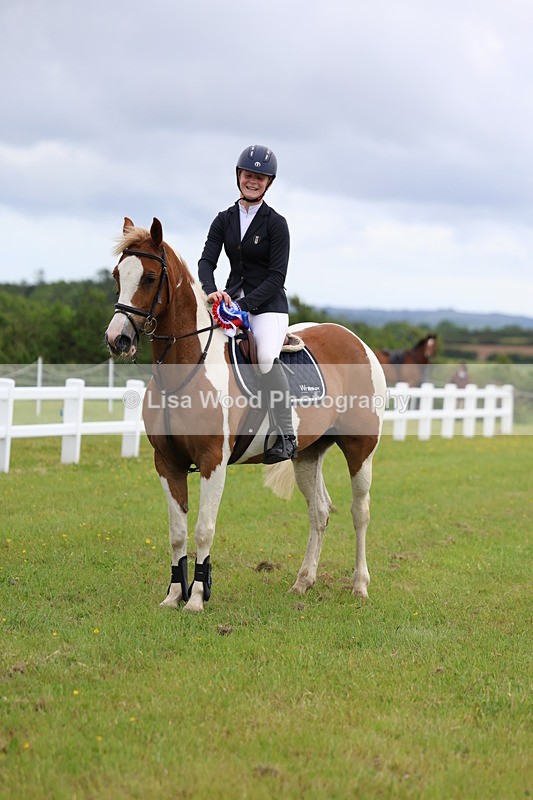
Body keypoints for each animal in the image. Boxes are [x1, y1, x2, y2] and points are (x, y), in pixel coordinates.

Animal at [105, 217, 387, 613]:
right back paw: (303, 583)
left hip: (361, 448)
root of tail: (356, 340)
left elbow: (203, 529)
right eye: (118, 275)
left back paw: (359, 586)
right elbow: (177, 533)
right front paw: (174, 595)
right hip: (307, 453)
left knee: (359, 511)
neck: (185, 368)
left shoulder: (213, 460)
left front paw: (197, 598)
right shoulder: (167, 462)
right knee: (319, 512)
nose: (118, 339)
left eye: (148, 277)